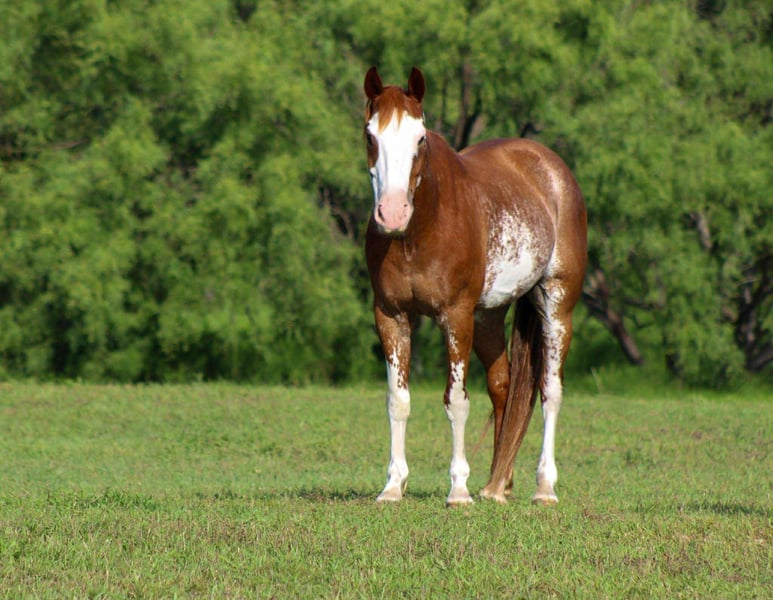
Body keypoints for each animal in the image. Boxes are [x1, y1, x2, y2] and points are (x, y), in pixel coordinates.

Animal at [363, 67, 587, 506]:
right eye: (370, 136)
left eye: (420, 137)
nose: (392, 213)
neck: (418, 232)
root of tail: (552, 169)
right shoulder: (391, 316)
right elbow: (398, 400)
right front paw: (393, 486)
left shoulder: (456, 317)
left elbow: (456, 401)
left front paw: (459, 489)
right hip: (488, 317)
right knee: (504, 386)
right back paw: (498, 485)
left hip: (556, 307)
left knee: (550, 391)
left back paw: (544, 487)